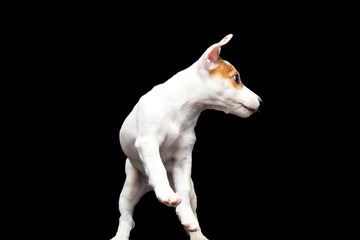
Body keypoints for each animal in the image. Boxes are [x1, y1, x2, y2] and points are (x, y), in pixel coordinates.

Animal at [111, 33, 260, 240]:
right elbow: (156, 167)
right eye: (236, 78)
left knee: (189, 203)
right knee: (126, 217)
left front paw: (186, 217)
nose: (260, 101)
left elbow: (183, 191)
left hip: (191, 191)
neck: (182, 109)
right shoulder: (148, 142)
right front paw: (165, 193)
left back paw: (195, 231)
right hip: (129, 189)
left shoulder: (183, 159)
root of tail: (148, 187)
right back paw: (121, 235)